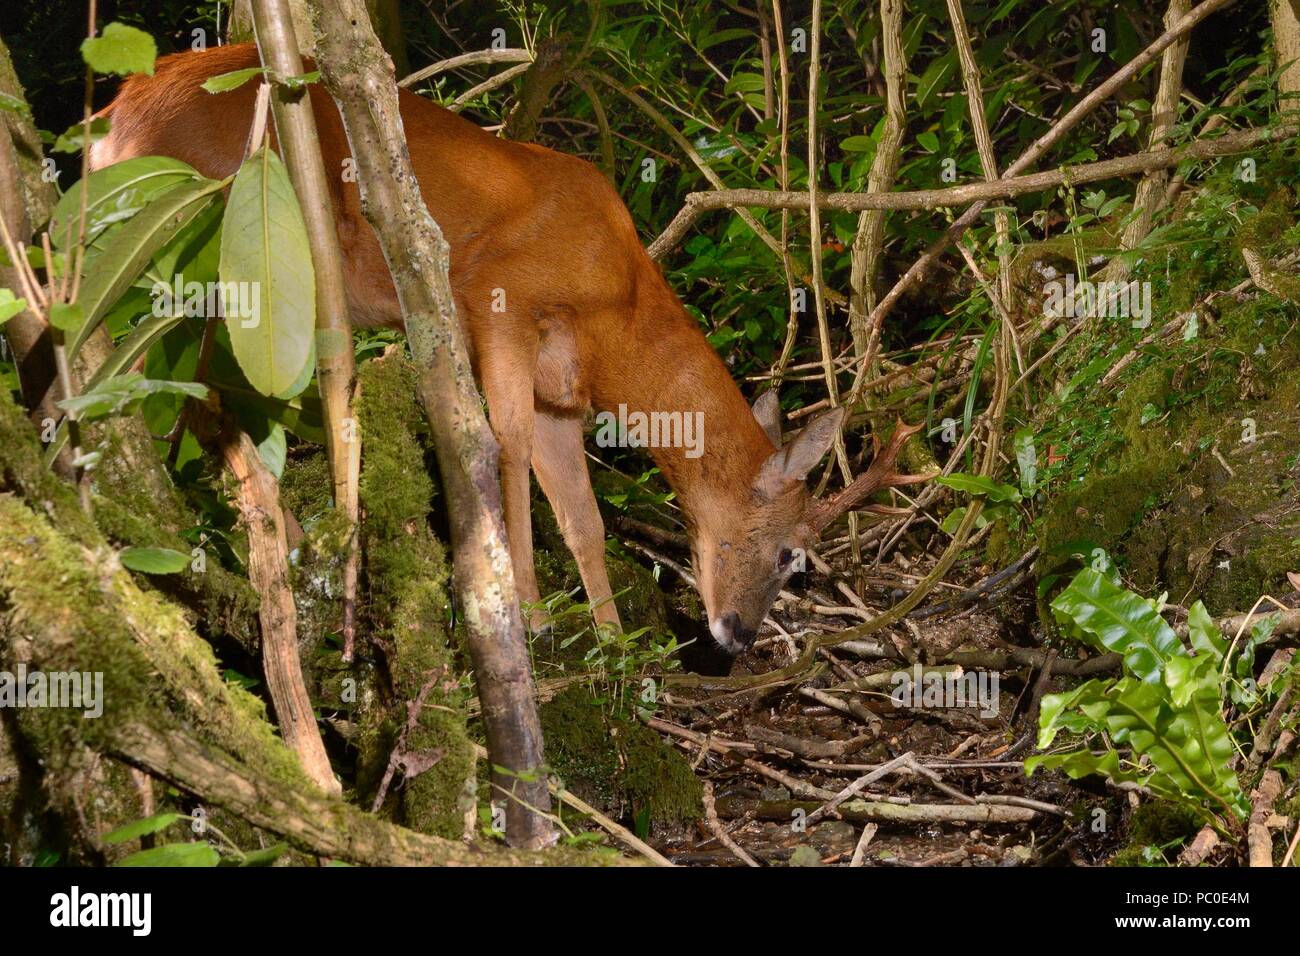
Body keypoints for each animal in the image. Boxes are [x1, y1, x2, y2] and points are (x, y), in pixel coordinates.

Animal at [94, 44, 935, 658]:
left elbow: (583, 515)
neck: (618, 305)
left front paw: (612, 642)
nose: (737, 638)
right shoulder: (498, 298)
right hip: (205, 246)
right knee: (140, 371)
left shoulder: (561, 387)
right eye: (793, 554)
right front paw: (529, 617)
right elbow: (503, 448)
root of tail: (111, 121)